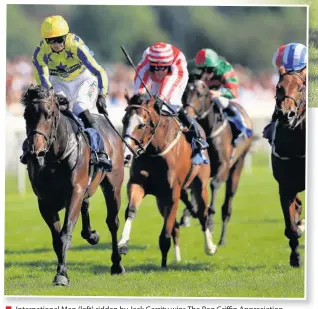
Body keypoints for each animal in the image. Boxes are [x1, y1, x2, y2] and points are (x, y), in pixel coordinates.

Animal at [21, 84, 124, 284]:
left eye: (49, 114)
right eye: (26, 114)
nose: (35, 152)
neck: (54, 158)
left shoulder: (74, 192)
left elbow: (65, 234)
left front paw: (61, 274)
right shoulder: (44, 202)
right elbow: (56, 239)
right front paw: (62, 271)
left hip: (113, 185)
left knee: (113, 222)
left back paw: (116, 264)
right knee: (86, 207)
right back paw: (91, 235)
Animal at [118, 92, 217, 268]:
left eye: (141, 125)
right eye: (124, 121)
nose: (127, 156)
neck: (156, 151)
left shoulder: (172, 194)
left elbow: (165, 234)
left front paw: (164, 266)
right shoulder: (137, 184)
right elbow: (131, 210)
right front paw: (122, 243)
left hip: (200, 184)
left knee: (202, 215)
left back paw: (210, 247)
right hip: (160, 200)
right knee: (176, 227)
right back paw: (177, 258)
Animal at [181, 79, 253, 245]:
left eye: (200, 94)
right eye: (184, 93)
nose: (186, 114)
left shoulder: (224, 166)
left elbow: (214, 185)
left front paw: (210, 221)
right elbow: (192, 189)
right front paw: (189, 214)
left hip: (238, 164)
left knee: (228, 204)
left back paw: (222, 238)